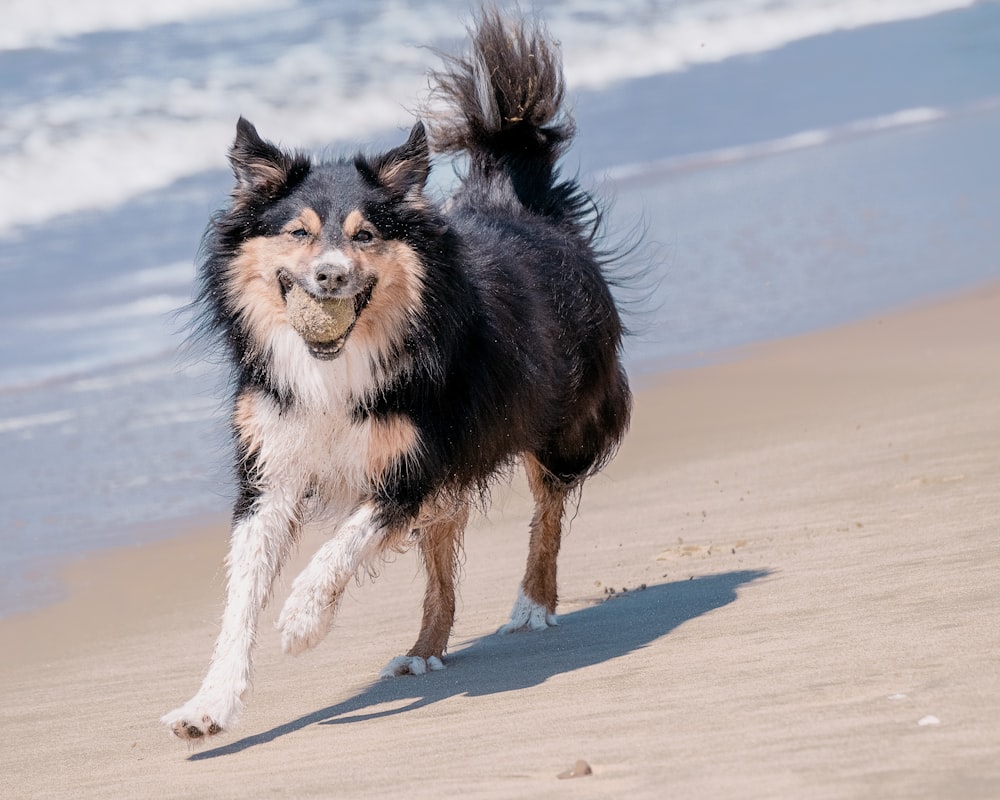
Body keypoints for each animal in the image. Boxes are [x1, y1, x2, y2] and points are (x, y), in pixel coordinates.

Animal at [164, 9, 632, 740]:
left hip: (558, 423)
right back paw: (422, 651)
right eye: (298, 233)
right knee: (445, 556)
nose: (329, 277)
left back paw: (533, 603)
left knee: (549, 506)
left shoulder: (413, 461)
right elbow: (241, 595)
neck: (338, 366)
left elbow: (341, 545)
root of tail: (518, 208)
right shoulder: (271, 467)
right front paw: (209, 704)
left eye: (364, 235)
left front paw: (301, 620)